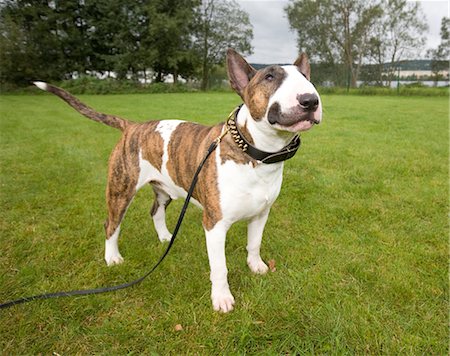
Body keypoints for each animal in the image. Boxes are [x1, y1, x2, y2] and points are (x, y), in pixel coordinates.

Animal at [35, 49, 324, 312]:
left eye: (306, 77)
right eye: (269, 77)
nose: (310, 100)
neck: (258, 155)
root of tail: (131, 126)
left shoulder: (261, 213)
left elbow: (254, 244)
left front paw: (257, 267)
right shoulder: (214, 224)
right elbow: (219, 267)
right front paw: (222, 299)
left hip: (165, 189)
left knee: (155, 211)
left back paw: (165, 237)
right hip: (121, 189)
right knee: (111, 224)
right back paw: (113, 257)